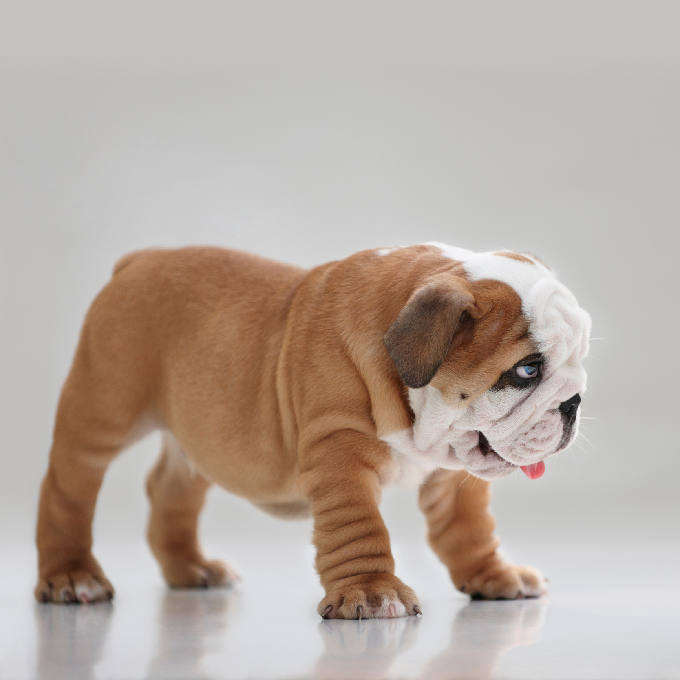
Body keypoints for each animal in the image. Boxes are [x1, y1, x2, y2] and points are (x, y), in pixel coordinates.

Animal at [35, 242, 588, 620]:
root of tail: (140, 259)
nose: (574, 402)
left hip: (195, 434)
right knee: (68, 490)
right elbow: (360, 528)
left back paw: (192, 570)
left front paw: (494, 576)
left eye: (580, 358)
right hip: (102, 410)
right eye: (527, 371)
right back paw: (72, 577)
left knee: (171, 489)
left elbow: (470, 529)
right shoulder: (340, 456)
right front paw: (373, 592)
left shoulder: (453, 476)